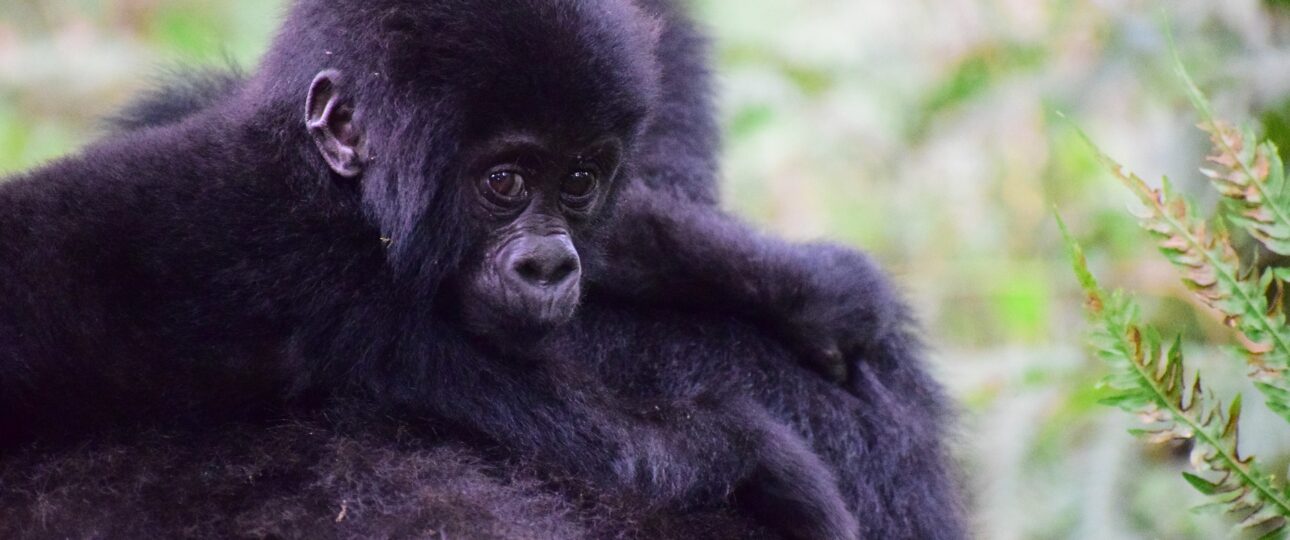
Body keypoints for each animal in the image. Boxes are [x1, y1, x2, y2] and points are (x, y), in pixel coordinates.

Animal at [0, 0, 964, 538]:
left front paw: (814, 289)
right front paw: (768, 461)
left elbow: (633, 232)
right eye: (502, 183)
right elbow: (608, 441)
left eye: (579, 181)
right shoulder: (343, 289)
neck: (334, 187)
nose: (548, 266)